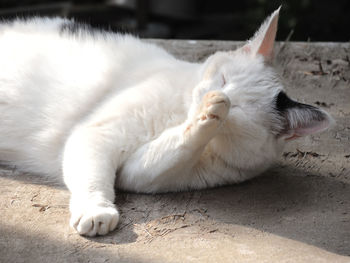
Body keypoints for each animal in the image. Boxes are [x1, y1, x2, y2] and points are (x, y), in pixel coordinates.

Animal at [0, 7, 332, 237]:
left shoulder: (142, 172)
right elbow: (94, 177)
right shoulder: (97, 134)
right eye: (223, 79)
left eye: (238, 109)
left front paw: (207, 118)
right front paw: (96, 210)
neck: (179, 113)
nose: (212, 96)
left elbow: (174, 148)